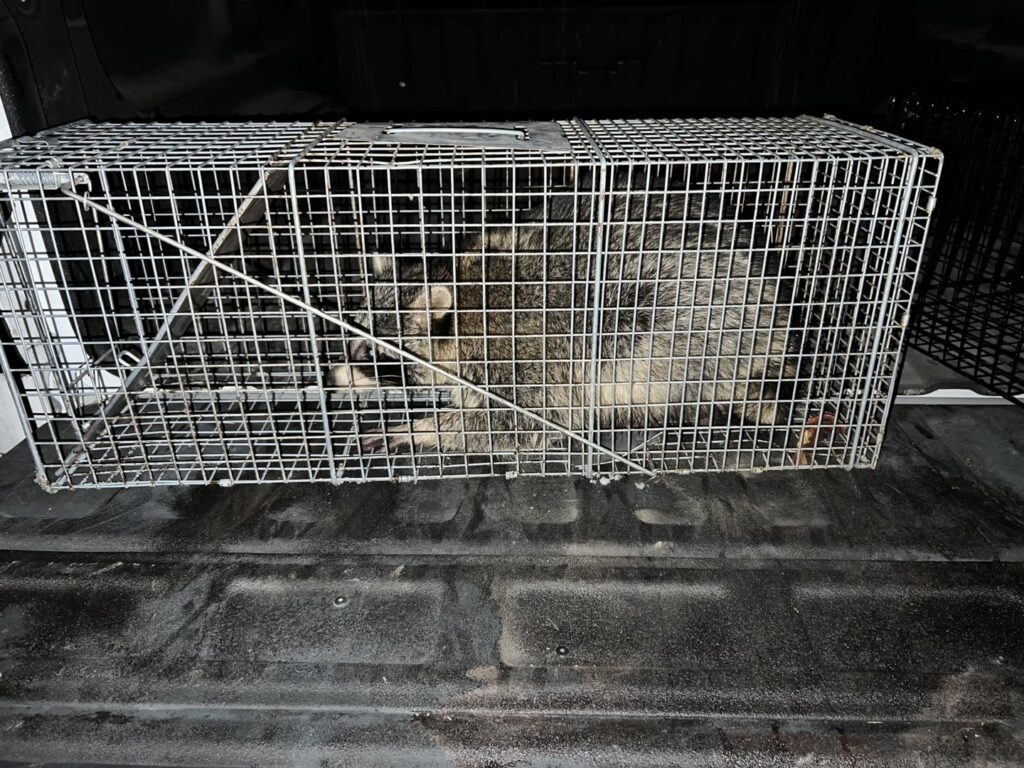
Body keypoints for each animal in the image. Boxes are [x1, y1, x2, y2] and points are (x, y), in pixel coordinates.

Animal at [333, 193, 797, 455]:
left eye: (372, 352)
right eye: (351, 338)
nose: (333, 375)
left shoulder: (523, 353)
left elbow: (516, 426)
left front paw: (418, 429)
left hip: (698, 323)